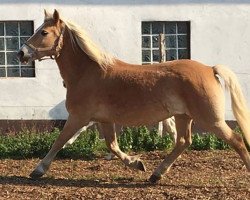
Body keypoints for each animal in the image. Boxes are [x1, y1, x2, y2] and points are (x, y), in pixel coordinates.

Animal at [17, 10, 250, 184]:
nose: (21, 53)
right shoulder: (103, 120)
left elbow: (59, 141)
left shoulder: (79, 117)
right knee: (183, 141)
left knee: (237, 141)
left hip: (211, 120)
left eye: (44, 32)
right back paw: (156, 175)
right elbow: (112, 145)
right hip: (183, 116)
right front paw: (137, 163)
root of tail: (210, 69)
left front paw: (38, 170)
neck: (87, 73)